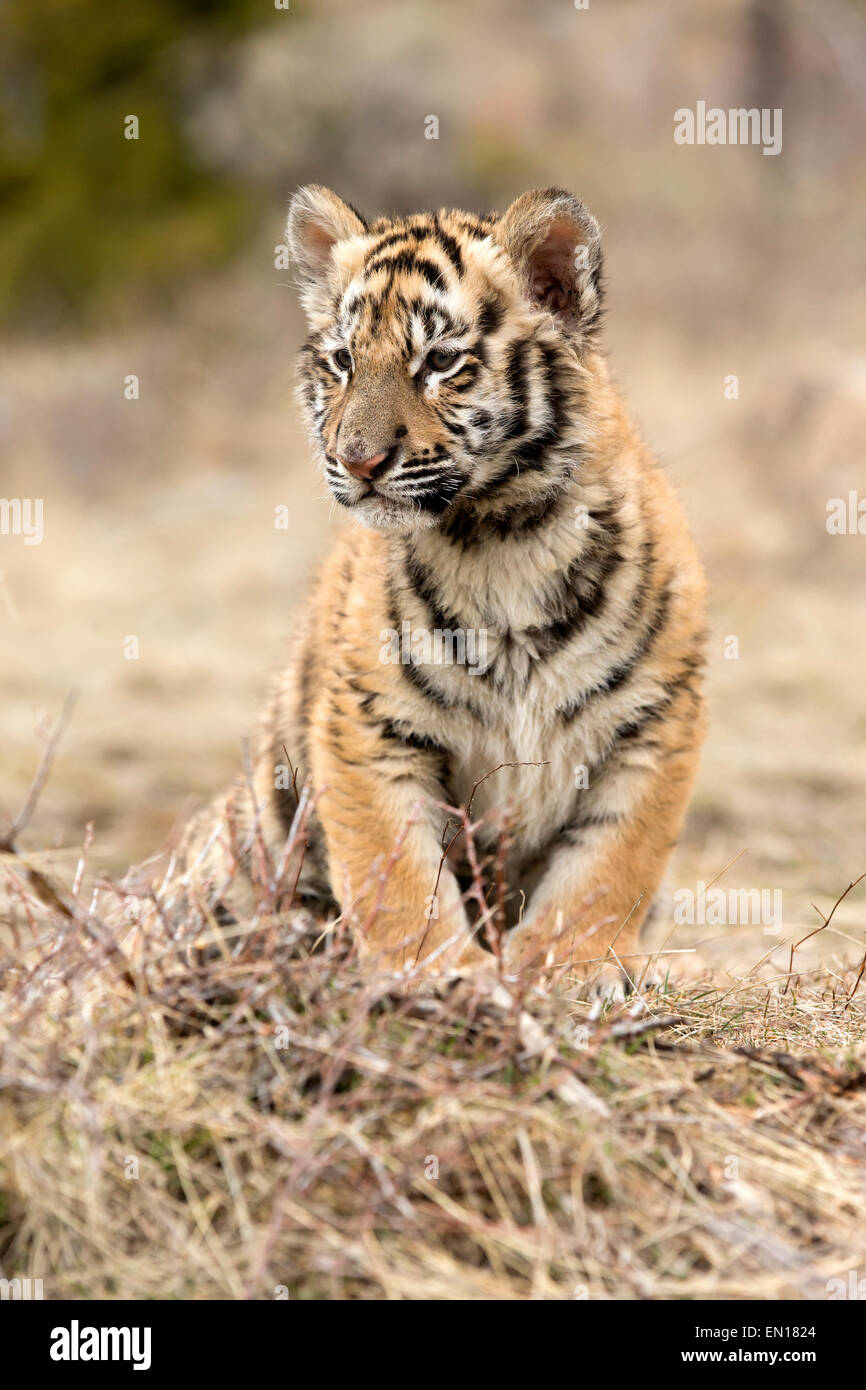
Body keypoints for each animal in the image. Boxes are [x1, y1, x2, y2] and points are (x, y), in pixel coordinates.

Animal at [174, 187, 706, 989]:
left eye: (441, 362)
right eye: (342, 361)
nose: (356, 461)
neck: (501, 534)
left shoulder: (654, 725)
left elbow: (609, 867)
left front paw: (569, 970)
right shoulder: (368, 731)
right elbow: (395, 877)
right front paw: (436, 975)